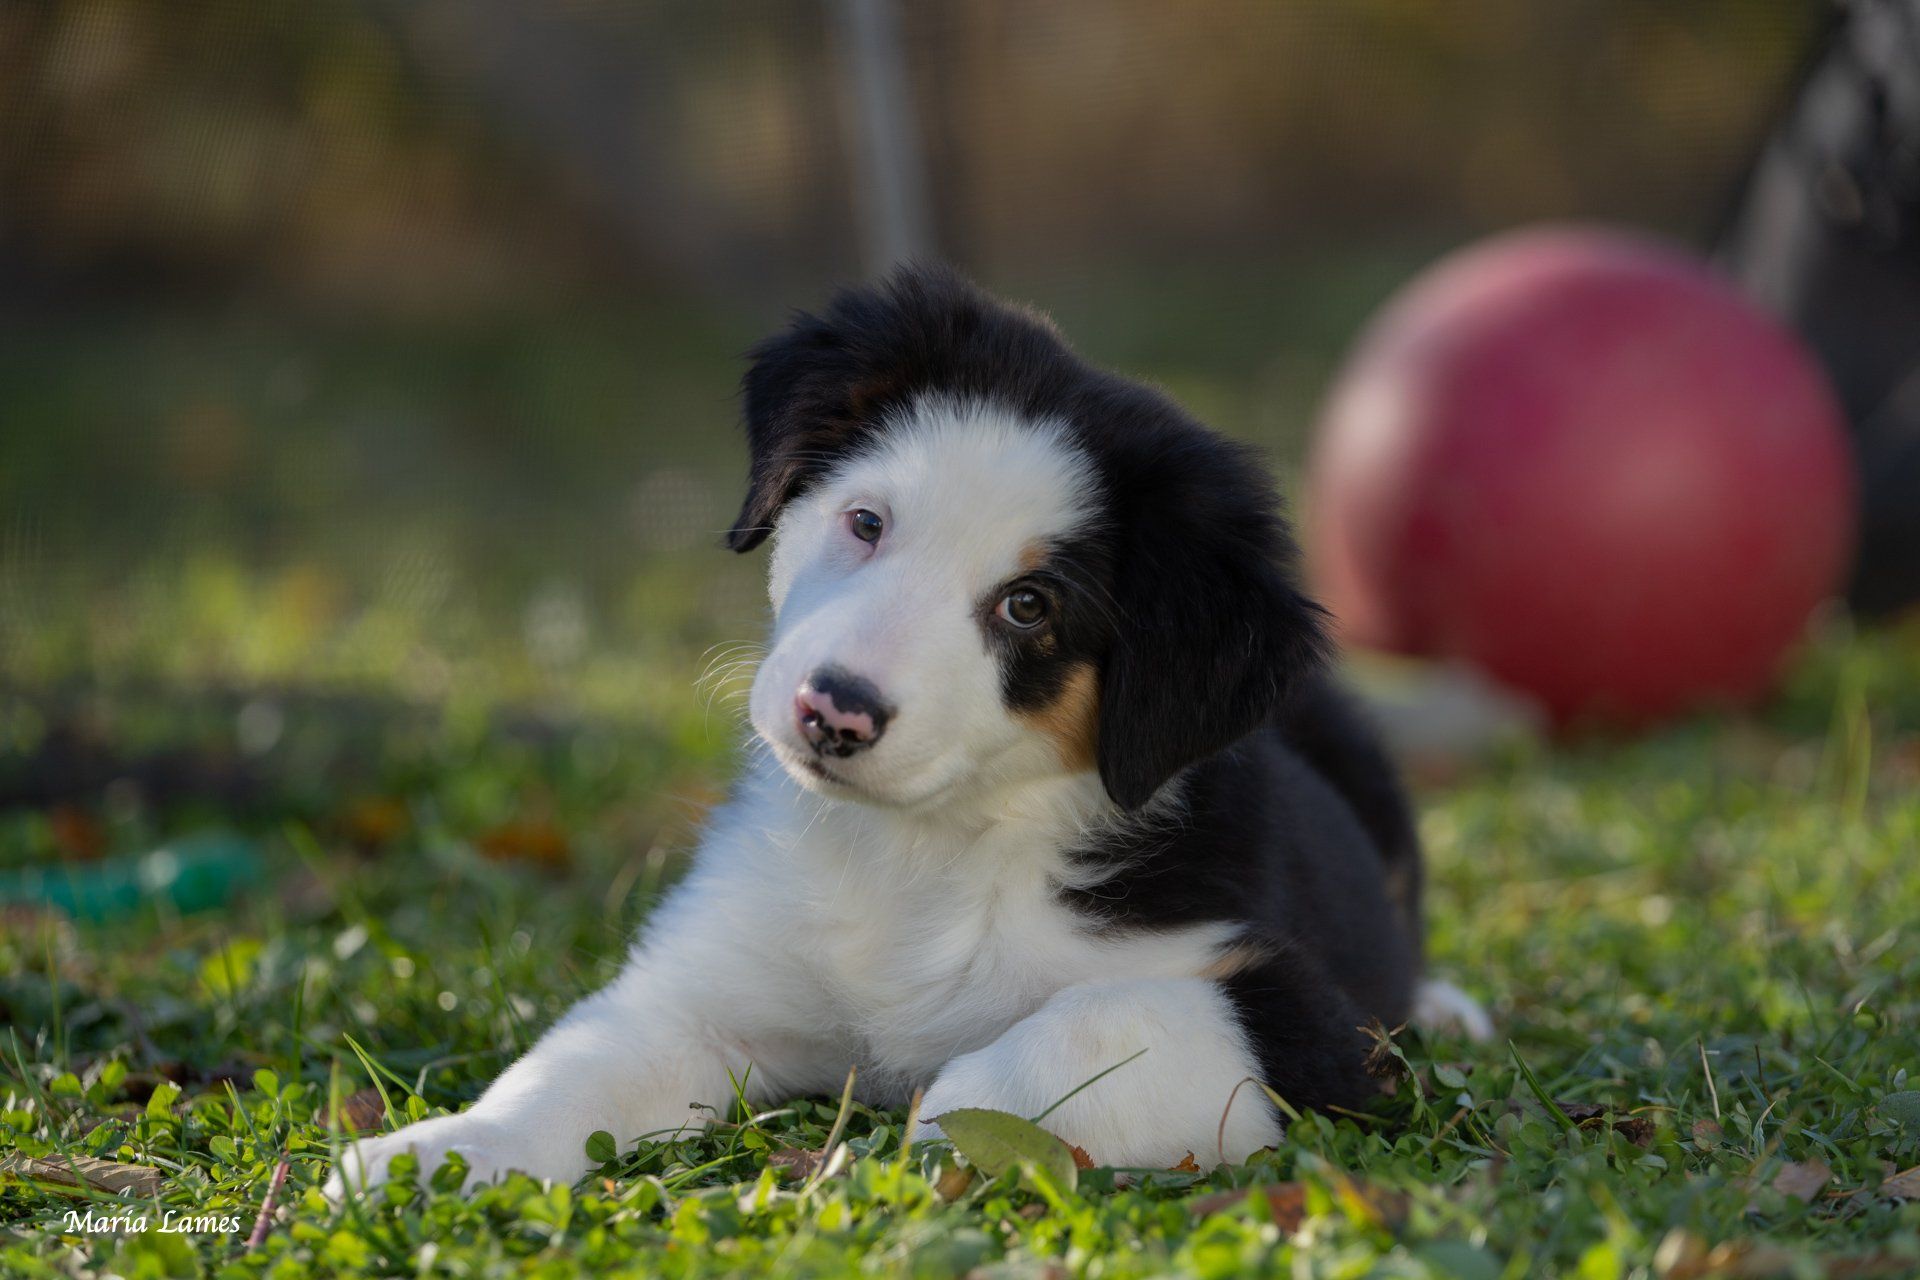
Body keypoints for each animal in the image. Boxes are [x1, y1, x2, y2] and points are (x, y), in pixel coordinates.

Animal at [326, 264, 1489, 1199]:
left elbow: (1102, 1022)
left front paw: (948, 1114)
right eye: (867, 521)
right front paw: (437, 1153)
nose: (833, 711)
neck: (925, 852)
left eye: (1029, 605)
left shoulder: (1304, 1019)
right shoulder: (701, 987)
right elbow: (570, 1067)